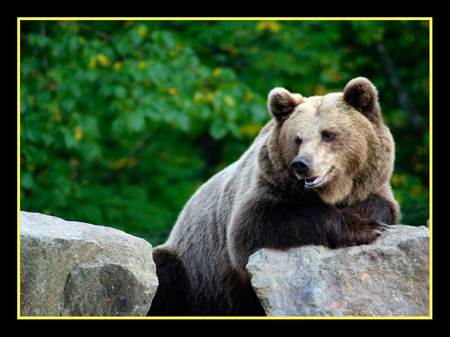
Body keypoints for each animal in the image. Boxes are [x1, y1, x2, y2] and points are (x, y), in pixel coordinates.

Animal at [149, 76, 400, 316]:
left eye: (328, 134)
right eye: (298, 139)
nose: (301, 164)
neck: (325, 193)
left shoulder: (373, 183)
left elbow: (382, 205)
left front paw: (368, 220)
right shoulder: (265, 187)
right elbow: (254, 225)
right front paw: (362, 228)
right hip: (195, 272)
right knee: (164, 270)